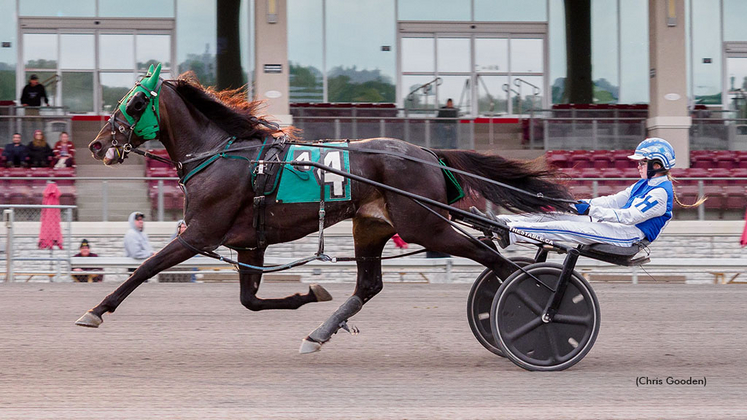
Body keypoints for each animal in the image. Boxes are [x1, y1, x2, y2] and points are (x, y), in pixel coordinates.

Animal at [76, 65, 572, 354]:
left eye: (135, 101)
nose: (97, 144)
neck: (222, 154)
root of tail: (428, 154)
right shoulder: (249, 243)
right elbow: (250, 300)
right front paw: (310, 294)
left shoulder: (199, 234)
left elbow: (145, 269)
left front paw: (95, 310)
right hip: (371, 226)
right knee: (370, 285)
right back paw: (319, 332)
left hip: (425, 226)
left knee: (495, 261)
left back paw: (538, 311)